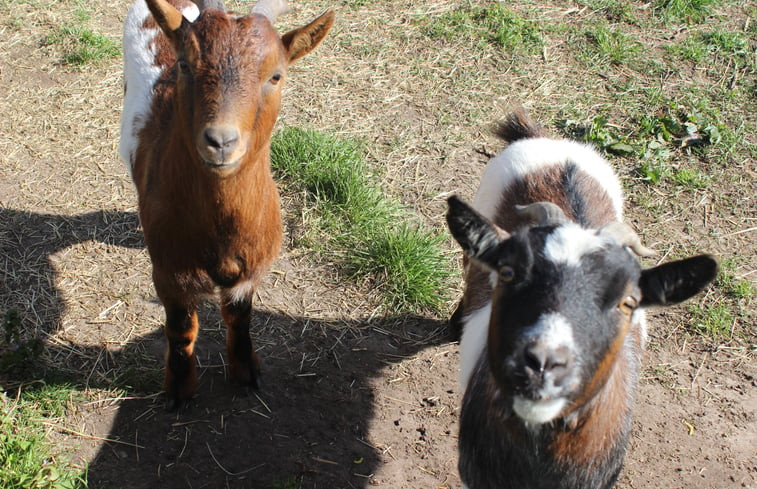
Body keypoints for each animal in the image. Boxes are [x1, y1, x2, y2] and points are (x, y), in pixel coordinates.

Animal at [119, 0, 334, 408]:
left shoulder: (248, 271)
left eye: (276, 75)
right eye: (184, 64)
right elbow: (181, 328)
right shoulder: (168, 272)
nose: (220, 142)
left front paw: (247, 372)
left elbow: (239, 317)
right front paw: (180, 389)